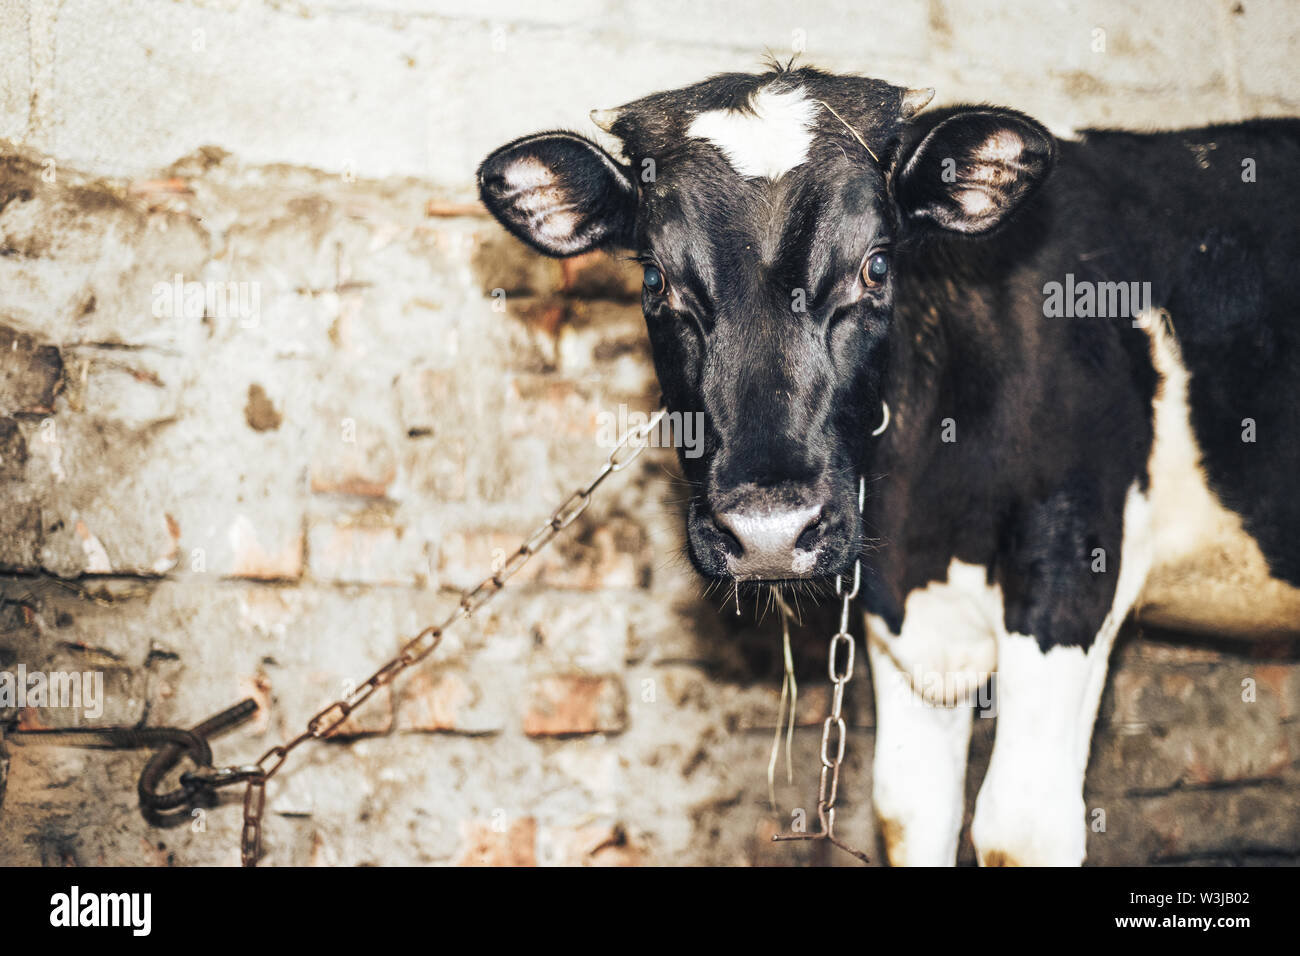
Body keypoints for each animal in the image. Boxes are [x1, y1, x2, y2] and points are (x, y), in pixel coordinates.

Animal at [477, 62, 1300, 866]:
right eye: (654, 279)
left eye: (876, 265)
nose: (769, 532)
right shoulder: (900, 613)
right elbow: (911, 811)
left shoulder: (1074, 563)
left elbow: (1021, 826)